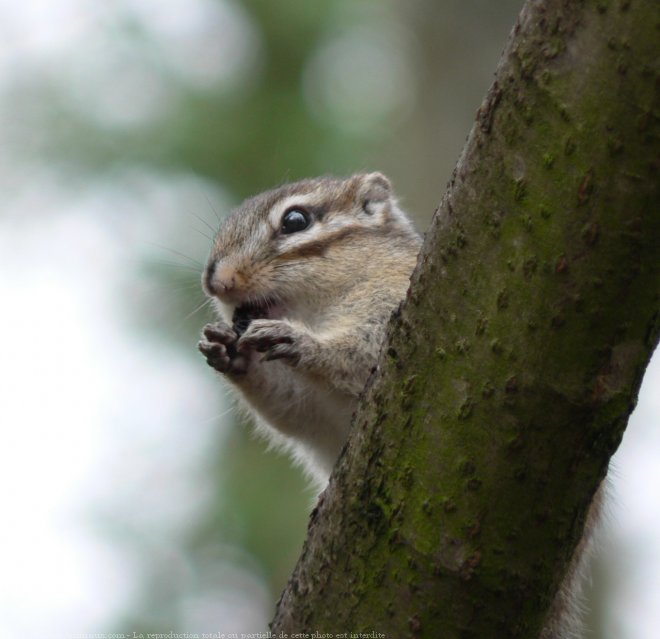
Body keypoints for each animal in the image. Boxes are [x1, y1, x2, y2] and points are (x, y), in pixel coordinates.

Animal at [199, 172, 420, 488]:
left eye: (295, 220)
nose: (216, 283)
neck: (315, 313)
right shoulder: (316, 410)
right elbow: (295, 407)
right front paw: (231, 353)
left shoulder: (392, 301)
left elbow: (363, 353)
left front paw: (301, 342)